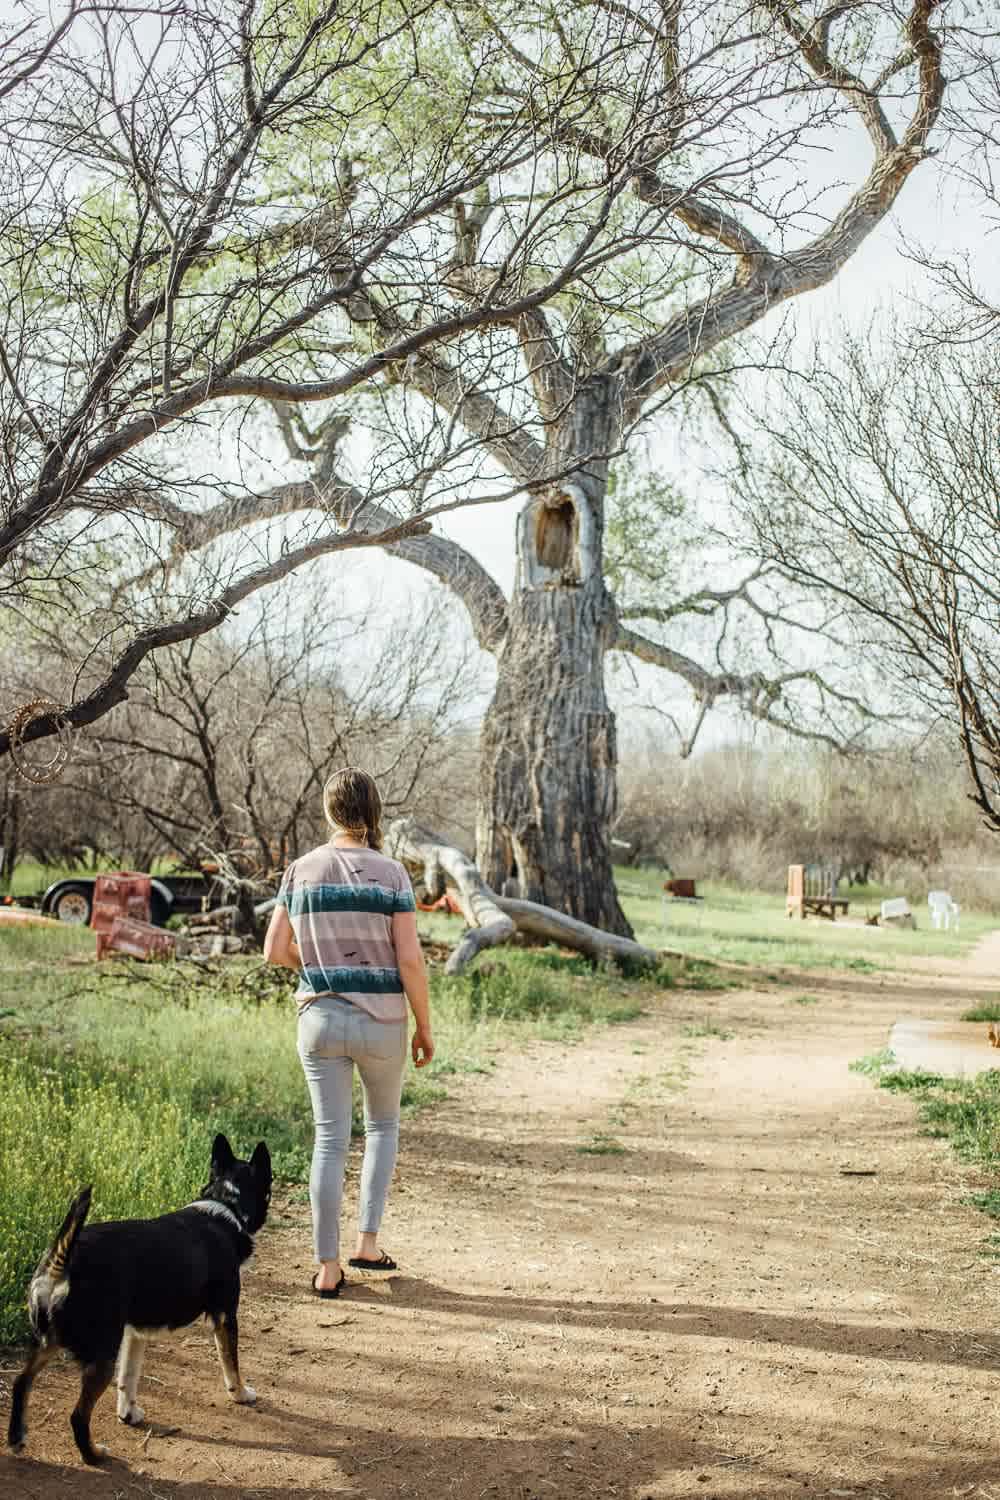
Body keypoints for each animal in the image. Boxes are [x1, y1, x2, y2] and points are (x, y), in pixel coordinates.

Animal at [6, 1134, 269, 1464]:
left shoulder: (135, 1334)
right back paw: (93, 1455)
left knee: (20, 1383)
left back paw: (16, 1438)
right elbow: (231, 1362)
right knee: (78, 1416)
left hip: (47, 1342)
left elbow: (128, 1379)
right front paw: (241, 1393)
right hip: (100, 1355)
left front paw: (128, 1414)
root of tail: (61, 1263)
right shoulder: (225, 1317)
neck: (225, 1206)